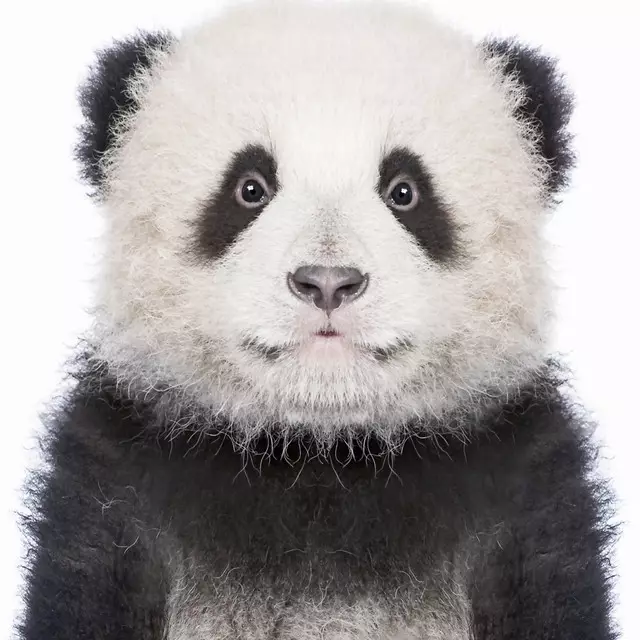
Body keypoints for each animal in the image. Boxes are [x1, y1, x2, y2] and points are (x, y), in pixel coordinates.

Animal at [18, 1, 616, 639]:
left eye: (405, 191)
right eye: (249, 187)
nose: (328, 280)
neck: (320, 454)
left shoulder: (523, 492)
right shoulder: (116, 487)